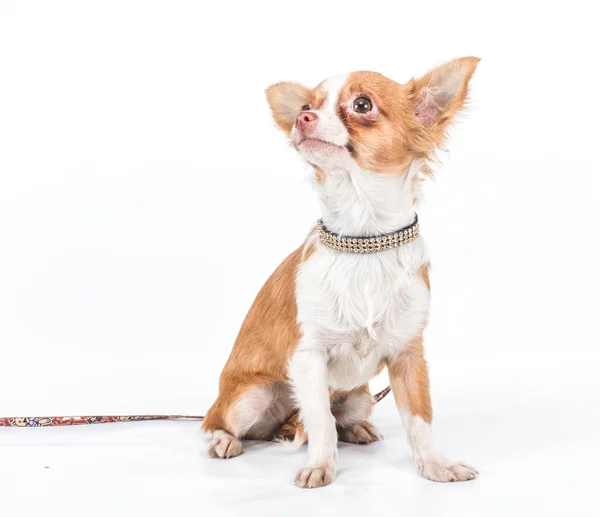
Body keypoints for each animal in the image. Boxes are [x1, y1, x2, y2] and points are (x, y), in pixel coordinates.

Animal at [204, 57, 480, 488]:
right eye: (308, 105)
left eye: (362, 105)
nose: (302, 117)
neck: (363, 239)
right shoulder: (308, 356)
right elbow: (319, 419)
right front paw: (321, 465)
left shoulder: (409, 355)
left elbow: (420, 418)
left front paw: (436, 465)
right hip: (251, 398)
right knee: (217, 420)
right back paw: (223, 441)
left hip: (360, 395)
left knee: (339, 416)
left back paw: (356, 429)